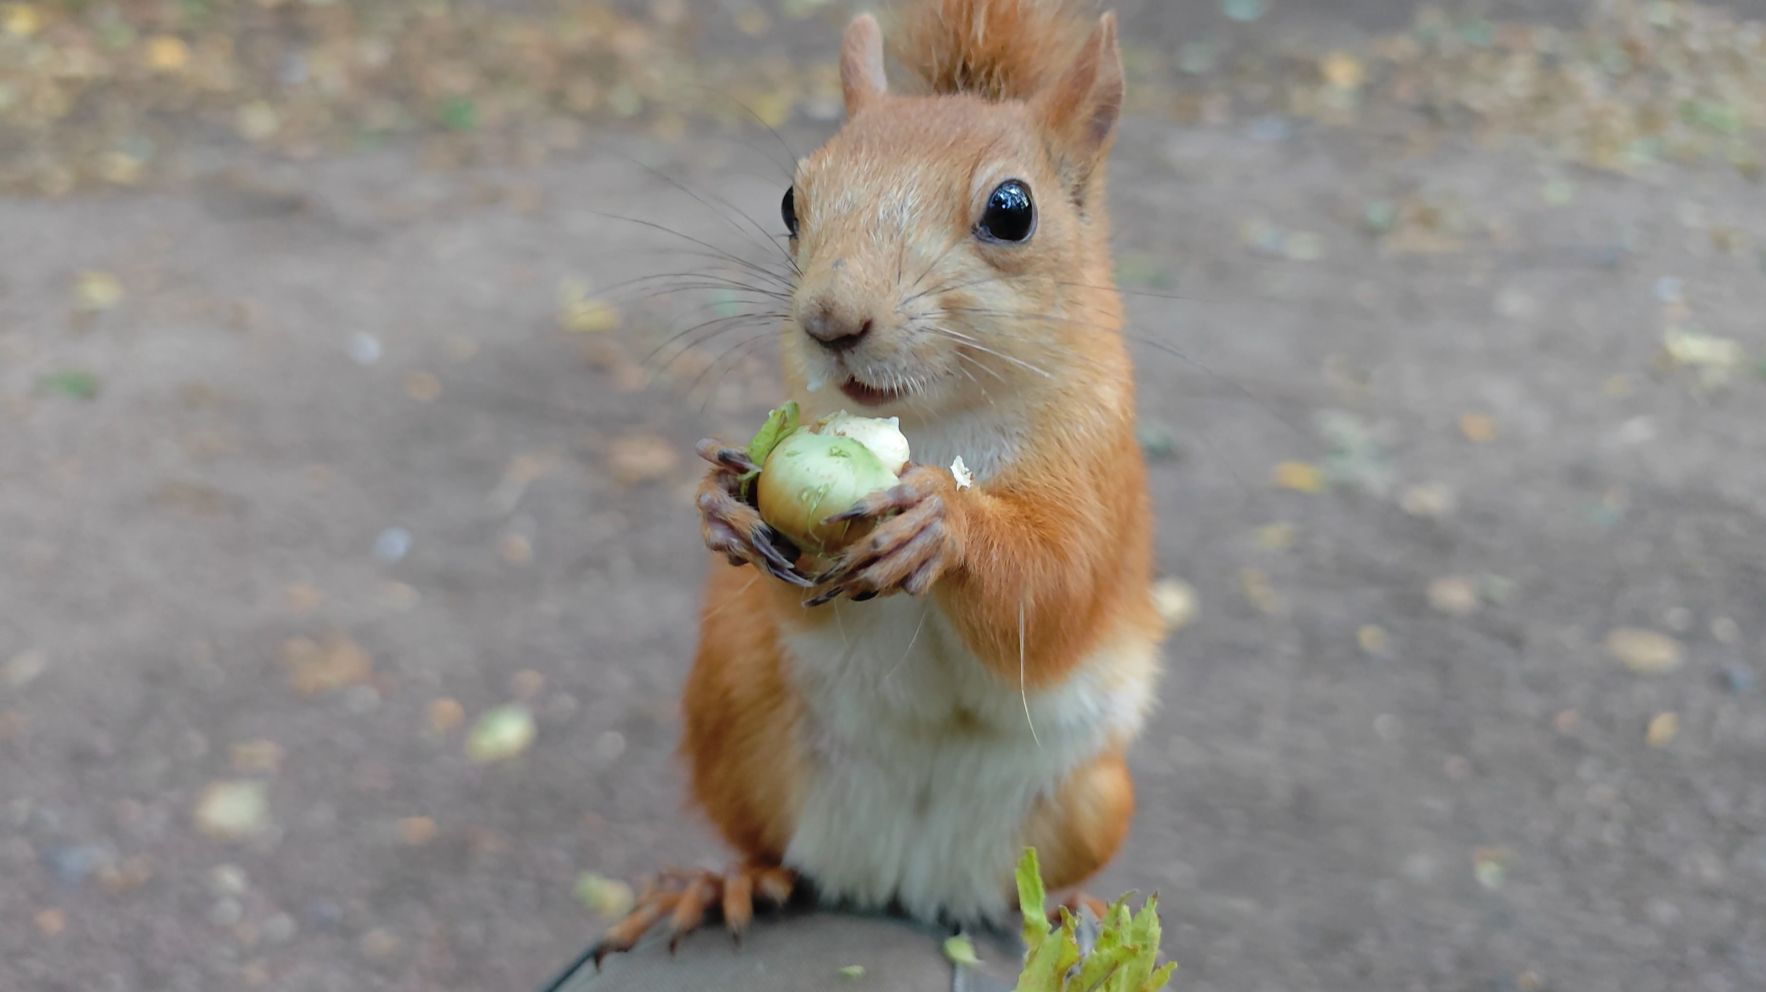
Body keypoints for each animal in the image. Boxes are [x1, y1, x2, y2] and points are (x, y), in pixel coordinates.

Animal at [593, 0, 1164, 962]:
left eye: (1013, 211)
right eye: (793, 199)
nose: (832, 321)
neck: (934, 422)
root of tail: (906, 879)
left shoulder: (1101, 477)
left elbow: (1056, 593)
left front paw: (944, 524)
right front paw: (719, 508)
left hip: (1093, 802)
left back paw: (1073, 918)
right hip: (738, 724)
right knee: (776, 851)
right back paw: (726, 883)